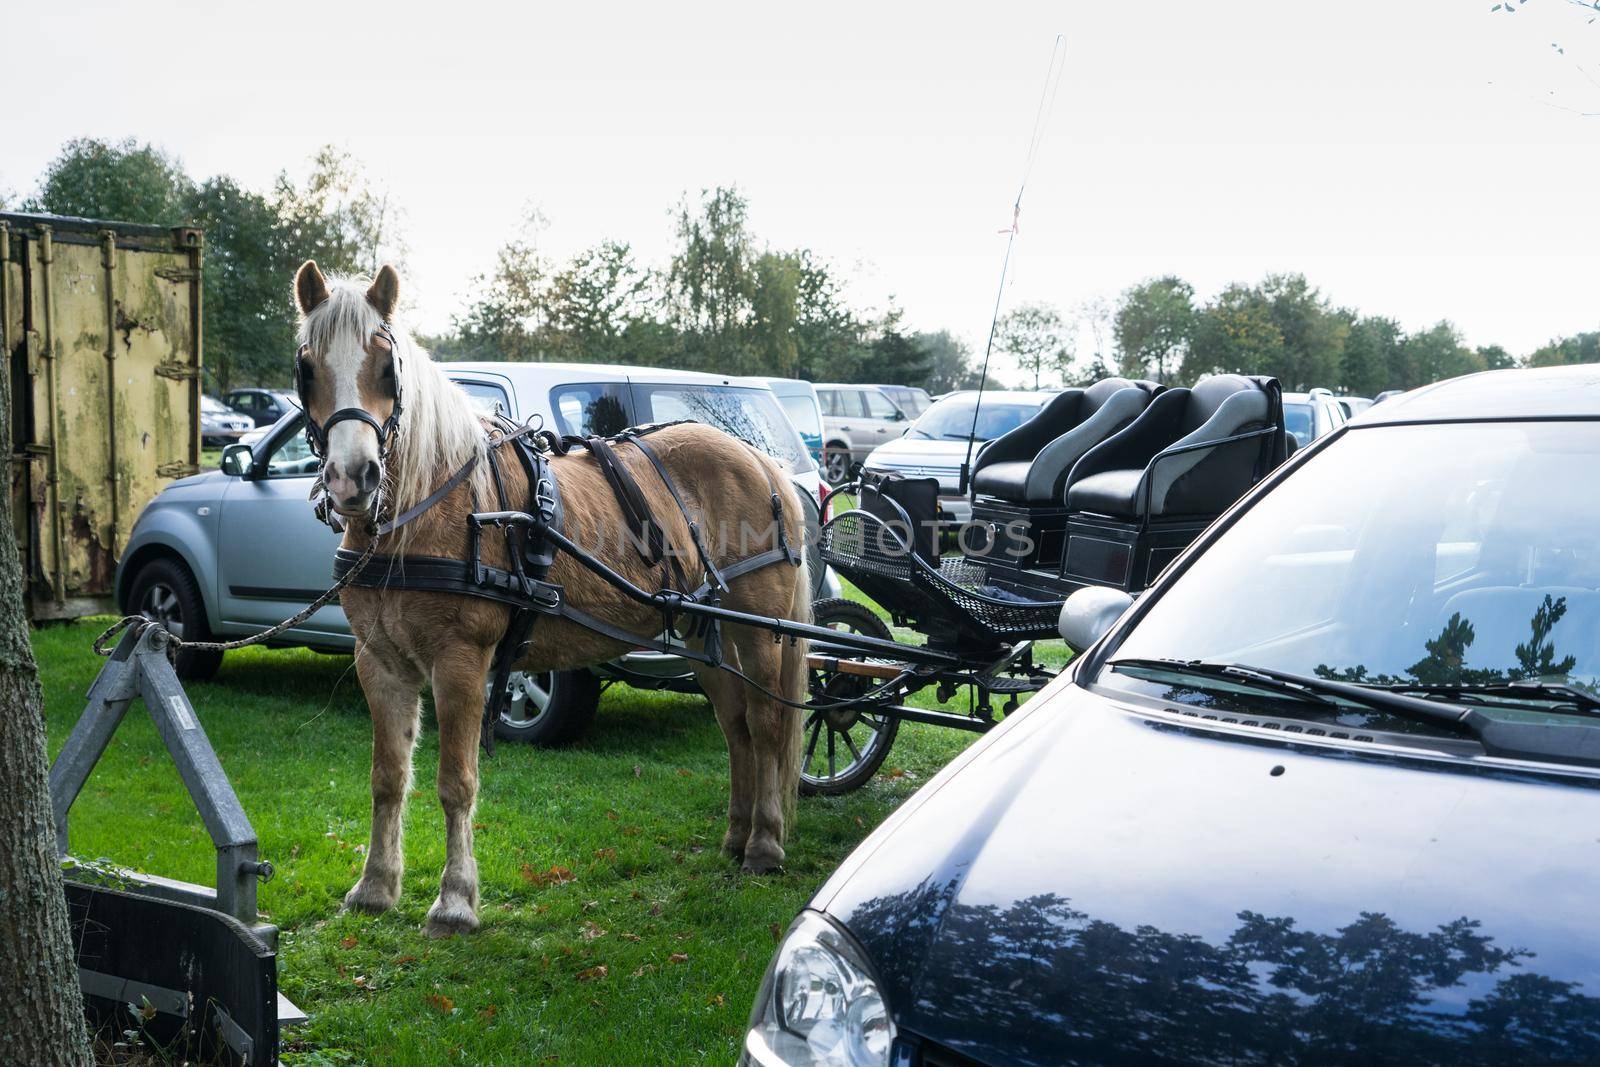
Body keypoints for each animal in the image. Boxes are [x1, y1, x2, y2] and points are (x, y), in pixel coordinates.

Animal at [291, 259, 812, 934]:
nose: (353, 479)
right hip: (706, 634)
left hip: (758, 628)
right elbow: (388, 778)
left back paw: (766, 845)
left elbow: (455, 782)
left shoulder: (462, 661)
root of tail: (760, 460)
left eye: (387, 367)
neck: (430, 507)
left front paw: (455, 901)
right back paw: (736, 837)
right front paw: (376, 887)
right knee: (738, 727)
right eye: (307, 369)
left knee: (769, 724)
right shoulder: (378, 661)